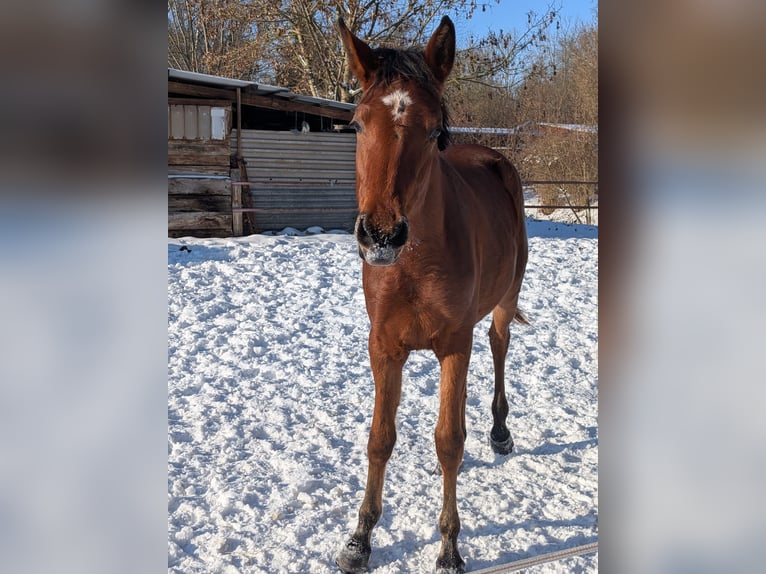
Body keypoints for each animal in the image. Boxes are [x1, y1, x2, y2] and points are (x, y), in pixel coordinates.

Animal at [335, 16, 528, 574]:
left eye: (433, 131)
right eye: (358, 124)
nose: (381, 236)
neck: (415, 265)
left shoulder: (453, 344)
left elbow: (449, 443)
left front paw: (449, 547)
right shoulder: (384, 346)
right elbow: (380, 439)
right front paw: (360, 538)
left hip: (504, 301)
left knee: (499, 345)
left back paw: (500, 431)